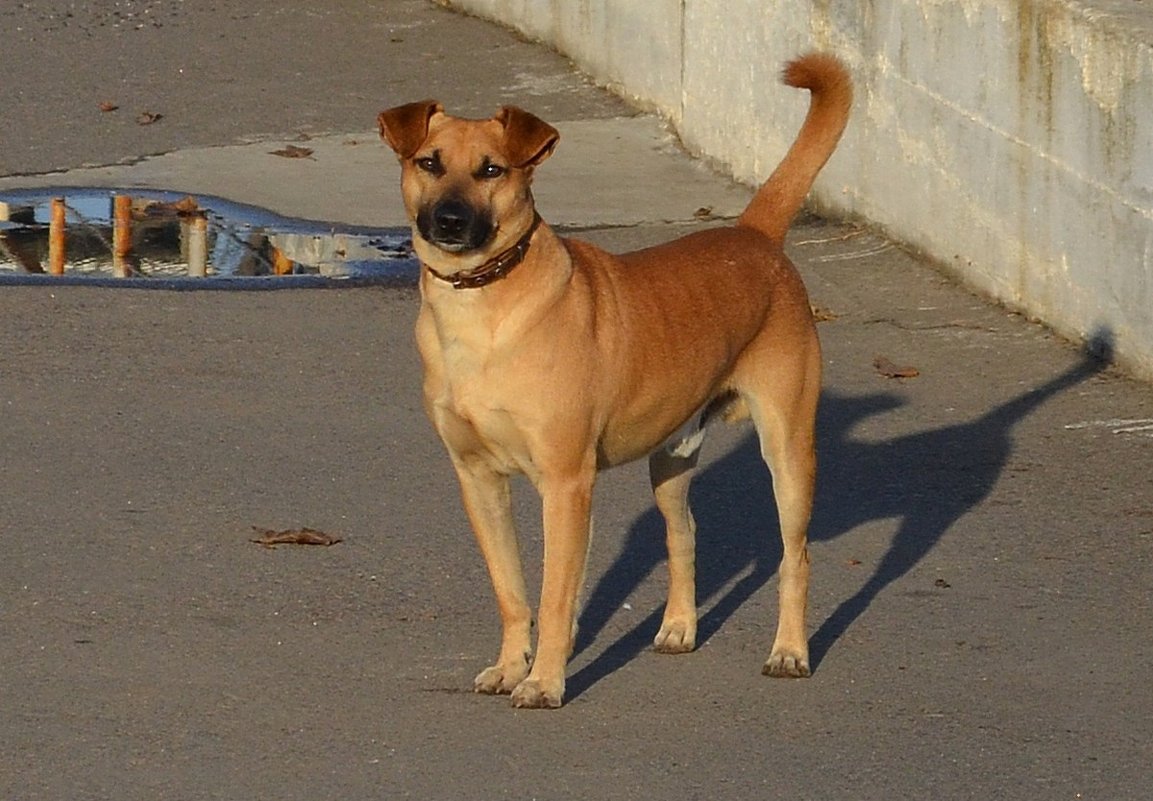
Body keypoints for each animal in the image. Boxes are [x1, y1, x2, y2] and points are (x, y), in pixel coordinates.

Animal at [378, 53, 848, 709]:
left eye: (492, 169)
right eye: (429, 163)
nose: (448, 220)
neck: (485, 311)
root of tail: (752, 235)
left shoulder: (565, 484)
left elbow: (554, 599)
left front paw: (545, 680)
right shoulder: (478, 480)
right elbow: (511, 590)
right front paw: (510, 666)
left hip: (788, 450)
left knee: (794, 557)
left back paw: (790, 651)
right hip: (671, 460)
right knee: (684, 535)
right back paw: (678, 627)